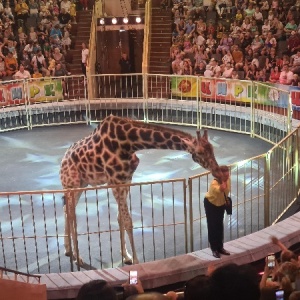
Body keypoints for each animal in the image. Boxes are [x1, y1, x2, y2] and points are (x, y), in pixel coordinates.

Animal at [59, 115, 224, 264]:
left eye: (212, 149)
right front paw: (136, 261)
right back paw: (77, 256)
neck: (129, 143)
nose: (218, 171)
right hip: (71, 184)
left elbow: (120, 218)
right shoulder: (114, 181)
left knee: (67, 210)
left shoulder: (126, 180)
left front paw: (126, 256)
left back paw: (68, 249)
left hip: (82, 184)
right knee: (71, 213)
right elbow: (128, 221)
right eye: (200, 152)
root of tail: (63, 160)